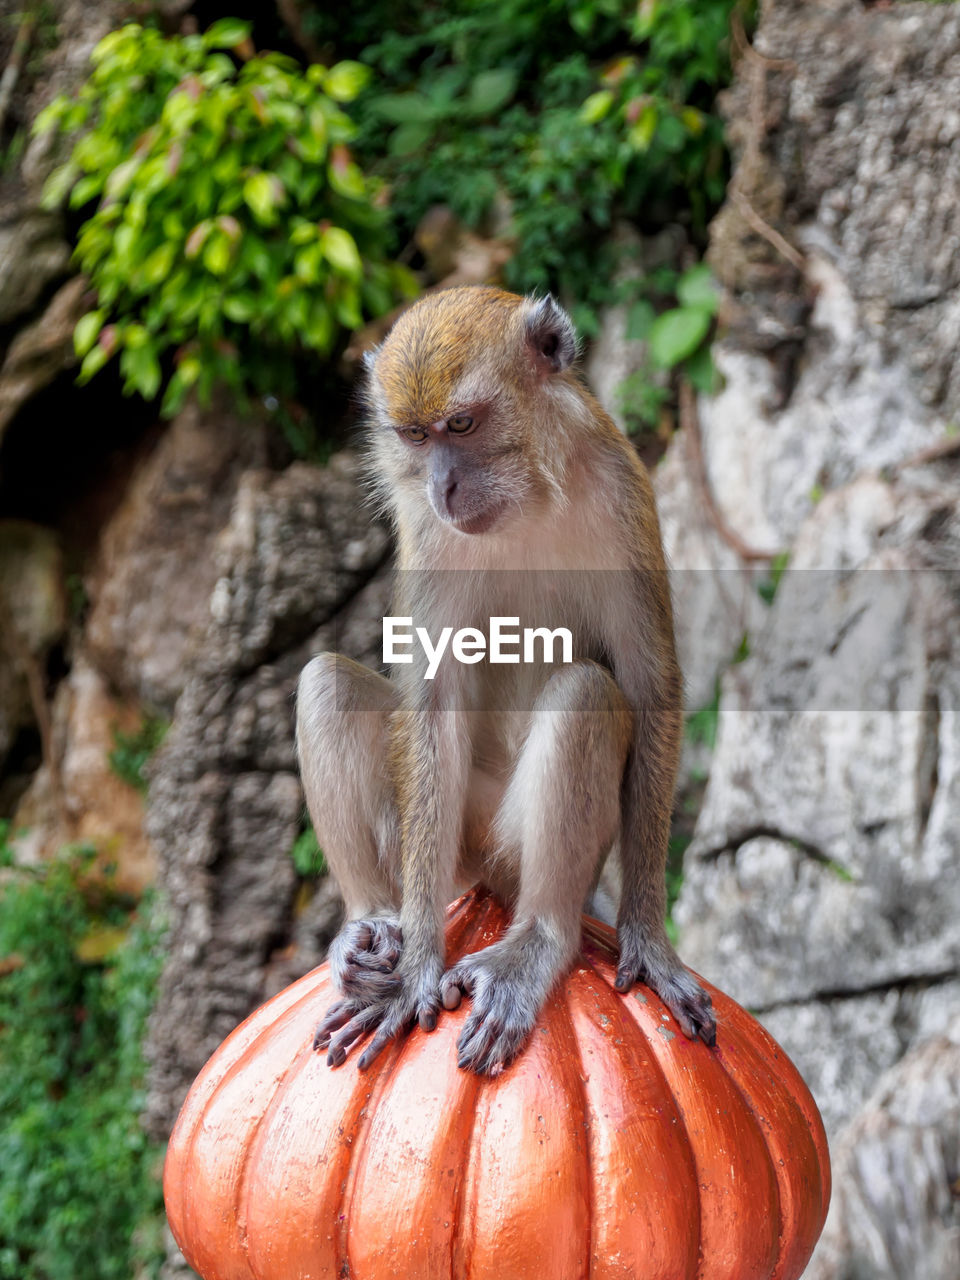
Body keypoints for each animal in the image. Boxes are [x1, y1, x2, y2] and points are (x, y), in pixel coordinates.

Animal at [296, 284, 716, 1077]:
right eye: (415, 437)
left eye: (461, 424)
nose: (444, 485)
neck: (528, 501)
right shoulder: (428, 536)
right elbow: (432, 704)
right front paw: (418, 968)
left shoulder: (622, 490)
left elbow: (649, 688)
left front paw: (649, 938)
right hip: (459, 844)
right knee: (326, 681)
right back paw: (372, 926)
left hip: (515, 846)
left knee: (587, 694)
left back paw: (538, 941)